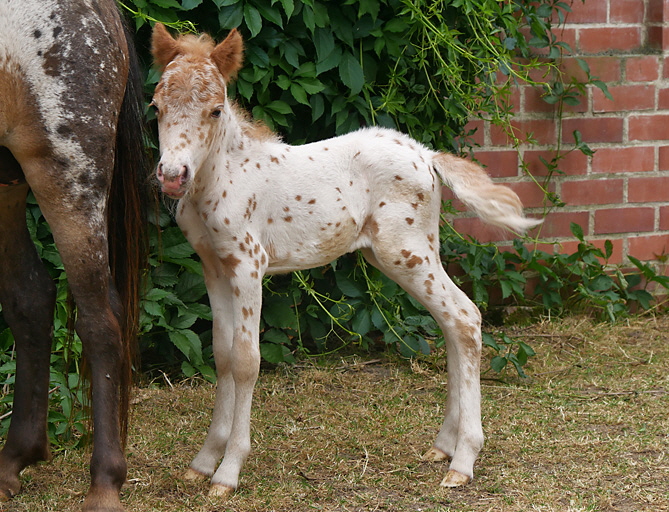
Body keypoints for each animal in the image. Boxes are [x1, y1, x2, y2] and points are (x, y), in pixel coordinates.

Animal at [149, 25, 540, 500]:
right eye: (156, 106)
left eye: (216, 109)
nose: (172, 176)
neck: (223, 177)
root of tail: (427, 156)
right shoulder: (213, 266)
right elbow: (222, 356)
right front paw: (204, 462)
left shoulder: (248, 266)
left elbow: (246, 361)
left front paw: (228, 471)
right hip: (406, 254)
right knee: (451, 325)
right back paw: (443, 446)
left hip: (406, 252)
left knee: (465, 317)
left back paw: (463, 461)